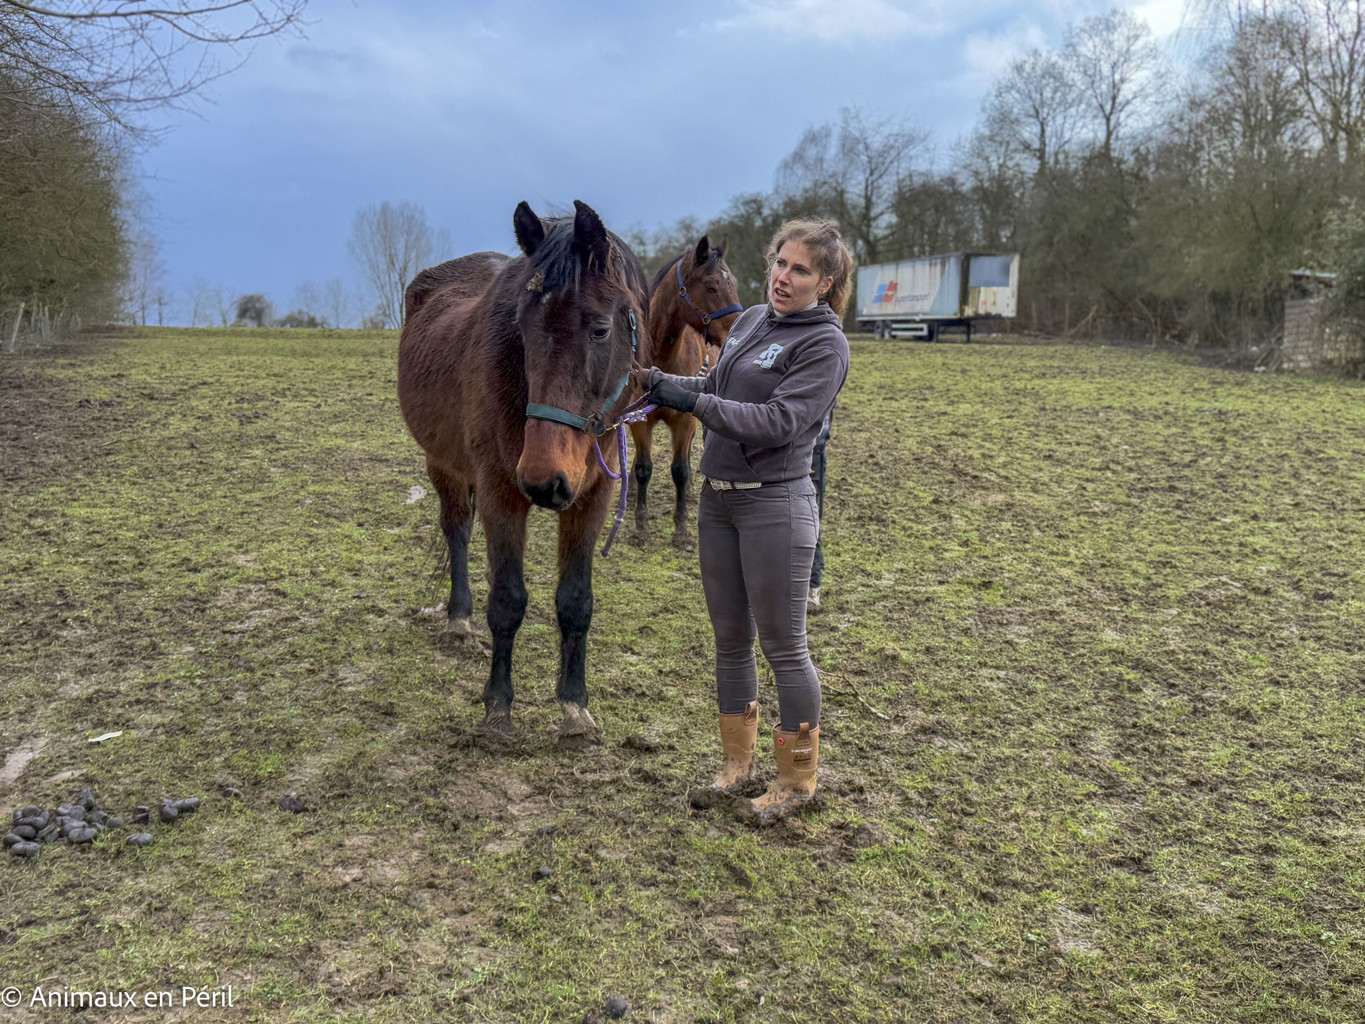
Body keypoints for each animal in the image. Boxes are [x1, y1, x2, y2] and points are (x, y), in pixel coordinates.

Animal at [397, 200, 651, 750]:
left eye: (600, 328)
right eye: (521, 325)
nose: (542, 481)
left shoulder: (592, 497)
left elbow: (576, 602)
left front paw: (574, 708)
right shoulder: (500, 491)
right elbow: (507, 601)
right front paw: (498, 709)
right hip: (444, 465)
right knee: (457, 532)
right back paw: (458, 620)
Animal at [630, 235, 742, 548]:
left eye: (734, 283)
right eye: (712, 286)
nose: (738, 329)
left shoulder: (685, 420)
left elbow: (679, 470)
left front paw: (681, 529)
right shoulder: (639, 422)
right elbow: (643, 468)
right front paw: (640, 527)